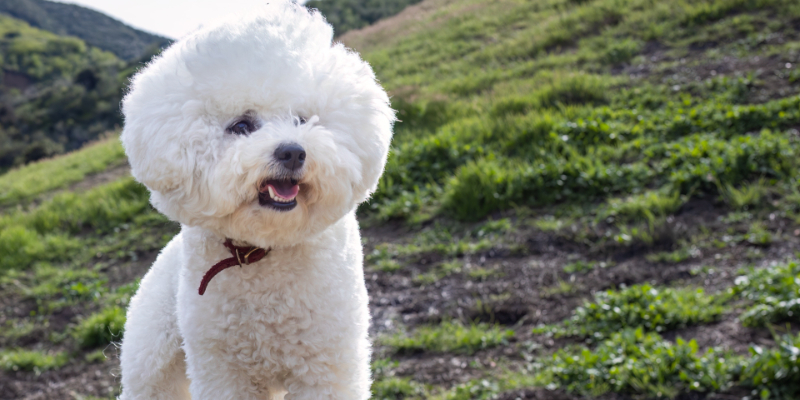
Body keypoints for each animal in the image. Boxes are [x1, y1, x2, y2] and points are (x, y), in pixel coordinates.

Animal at [116, 3, 394, 400]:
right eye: (241, 126)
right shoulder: (222, 371)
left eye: (302, 119)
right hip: (151, 364)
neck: (262, 252)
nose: (292, 152)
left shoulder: (325, 364)